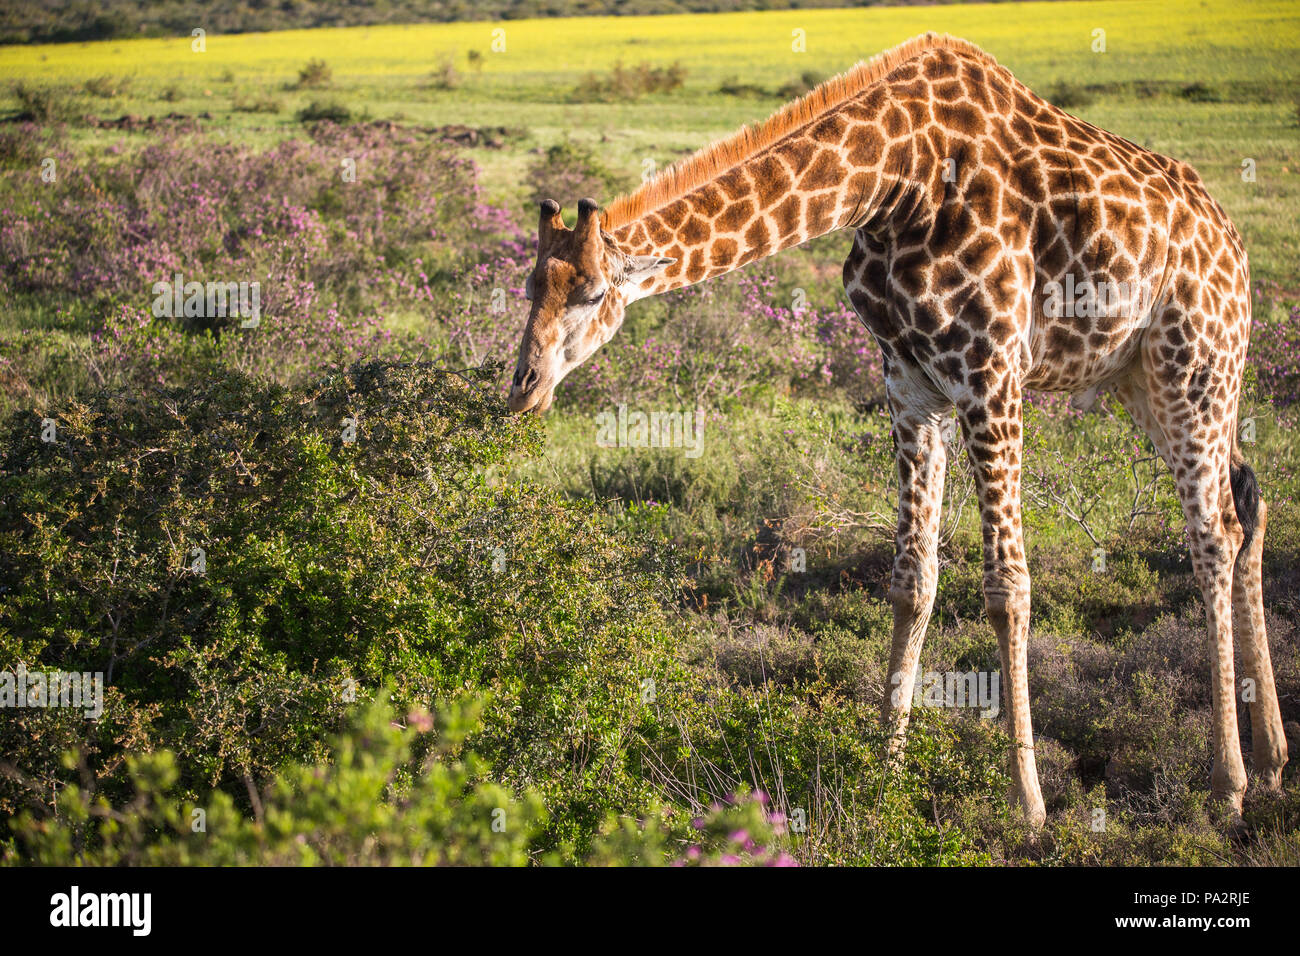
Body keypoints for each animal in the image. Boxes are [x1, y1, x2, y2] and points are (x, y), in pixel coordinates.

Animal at [507, 32, 1288, 825]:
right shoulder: (910, 387)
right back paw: (1271, 759)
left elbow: (1008, 586)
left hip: (1195, 363)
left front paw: (1028, 808)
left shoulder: (991, 376)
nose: (522, 389)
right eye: (528, 286)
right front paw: (887, 776)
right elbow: (912, 580)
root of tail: (1233, 241)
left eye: (593, 294)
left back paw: (1228, 785)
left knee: (1211, 534)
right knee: (1245, 505)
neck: (892, 181)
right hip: (1144, 381)